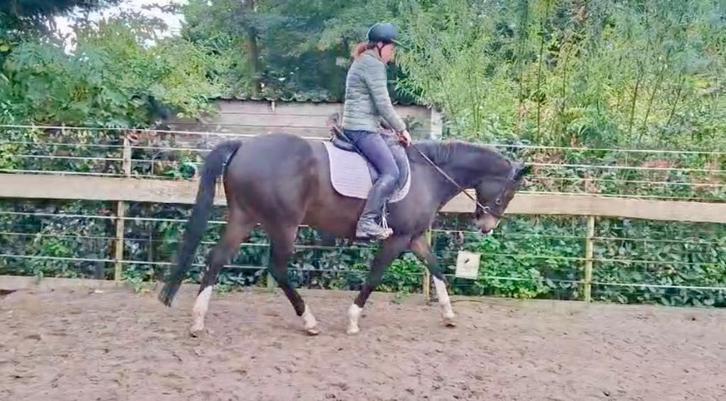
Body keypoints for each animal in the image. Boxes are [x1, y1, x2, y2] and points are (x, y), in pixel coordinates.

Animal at [157, 130, 530, 336]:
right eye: (509, 194)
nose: (487, 227)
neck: (429, 174)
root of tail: (244, 147)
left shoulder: (414, 238)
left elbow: (436, 269)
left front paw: (449, 315)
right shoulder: (396, 239)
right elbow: (375, 277)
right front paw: (352, 320)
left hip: (244, 218)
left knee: (217, 258)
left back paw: (198, 321)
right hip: (284, 224)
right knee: (278, 268)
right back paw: (309, 321)